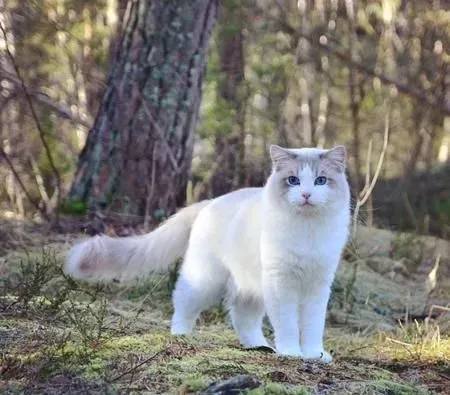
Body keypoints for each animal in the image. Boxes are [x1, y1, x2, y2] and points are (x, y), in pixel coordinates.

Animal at [65, 145, 350, 362]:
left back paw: (260, 346)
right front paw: (291, 353)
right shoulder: (282, 284)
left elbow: (312, 326)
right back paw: (181, 335)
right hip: (206, 281)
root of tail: (210, 202)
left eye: (320, 181)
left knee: (243, 317)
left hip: (250, 286)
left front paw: (314, 355)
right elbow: (289, 324)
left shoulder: (318, 286)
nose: (306, 194)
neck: (307, 231)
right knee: (183, 304)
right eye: (293, 180)